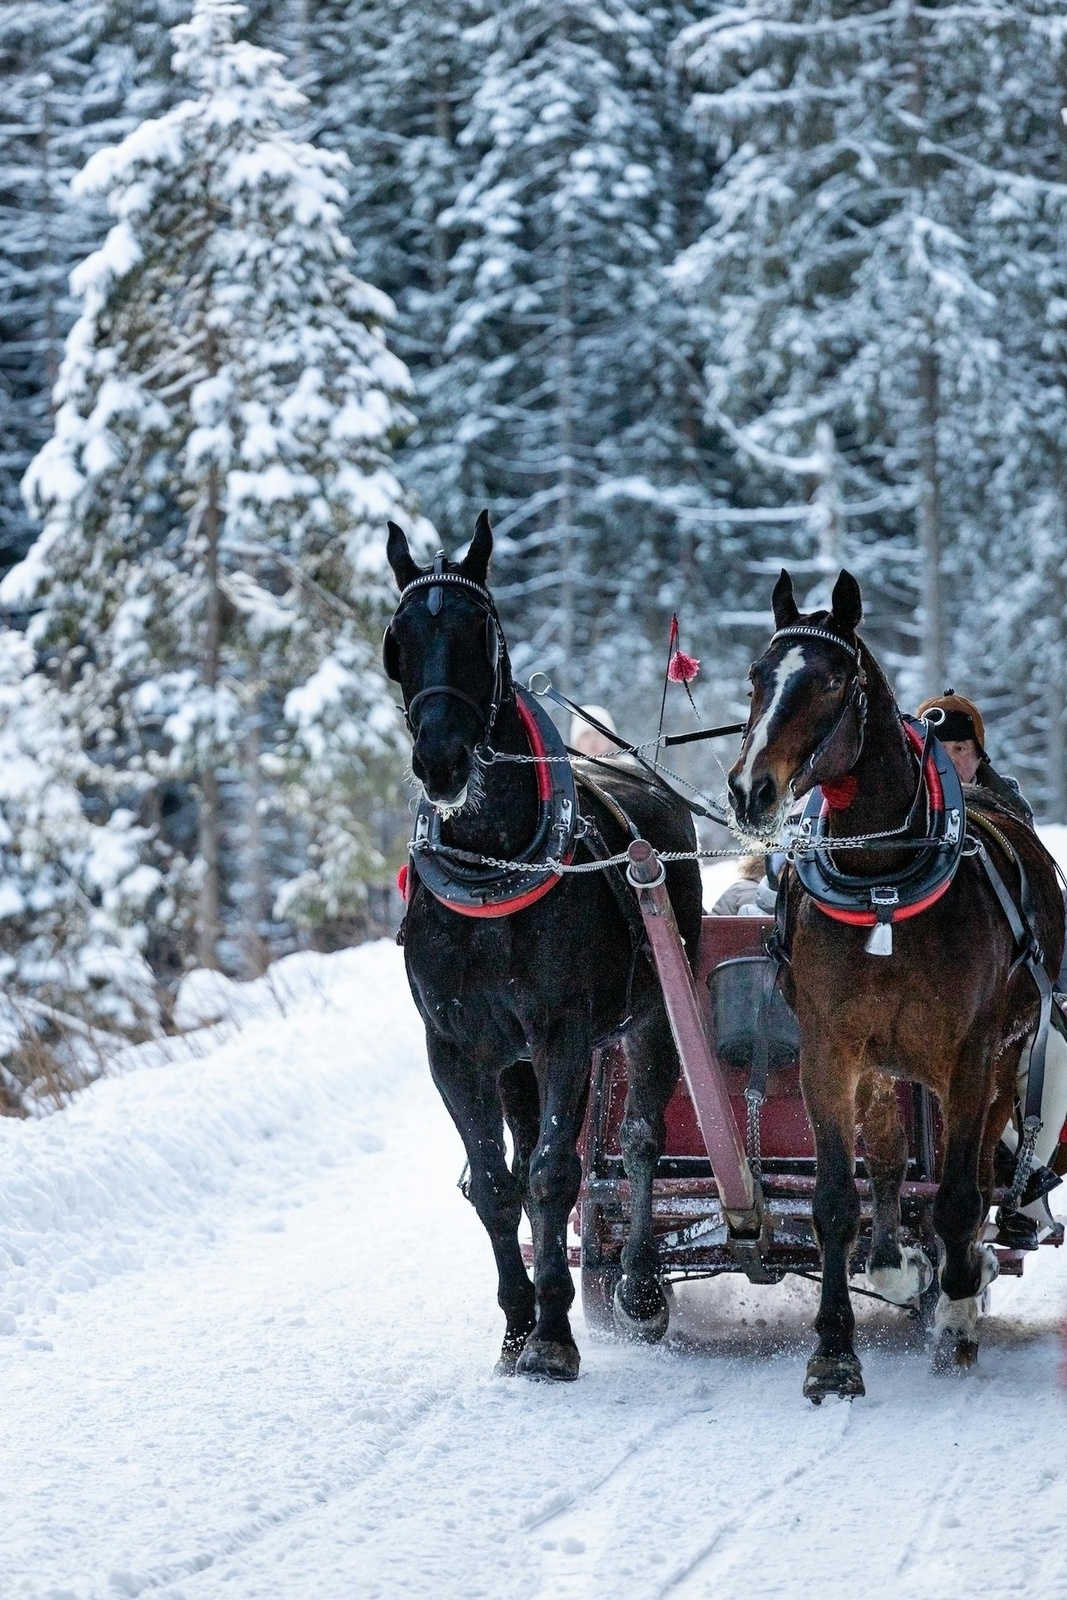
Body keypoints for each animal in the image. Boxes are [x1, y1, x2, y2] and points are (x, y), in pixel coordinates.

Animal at [383, 512, 702, 1379]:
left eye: (478, 631)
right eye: (397, 638)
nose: (440, 761)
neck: (491, 871)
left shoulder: (563, 1036)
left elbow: (558, 1174)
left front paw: (554, 1337)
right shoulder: (455, 1049)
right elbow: (498, 1185)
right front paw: (517, 1327)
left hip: (651, 1018)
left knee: (637, 1143)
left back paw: (638, 1287)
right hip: (515, 1062)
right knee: (525, 1156)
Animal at [727, 568, 1063, 1400]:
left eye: (827, 681)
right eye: (756, 675)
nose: (750, 791)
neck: (881, 879)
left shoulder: (970, 1055)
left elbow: (957, 1197)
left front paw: (957, 1315)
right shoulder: (830, 1049)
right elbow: (835, 1199)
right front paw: (832, 1353)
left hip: (996, 1060)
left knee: (973, 1172)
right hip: (885, 1066)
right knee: (885, 1162)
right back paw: (894, 1263)